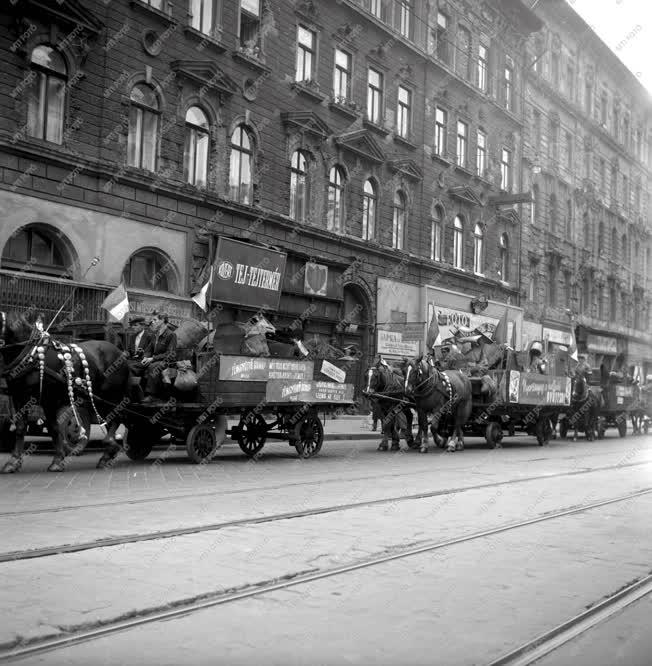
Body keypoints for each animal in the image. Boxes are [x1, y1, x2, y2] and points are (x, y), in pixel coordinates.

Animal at [0, 308, 130, 470]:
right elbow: (20, 427)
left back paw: (111, 445)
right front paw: (13, 462)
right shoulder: (19, 397)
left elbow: (54, 427)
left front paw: (57, 460)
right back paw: (107, 453)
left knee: (116, 417)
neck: (31, 353)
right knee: (109, 420)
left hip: (110, 395)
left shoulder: (49, 398)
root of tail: (119, 352)